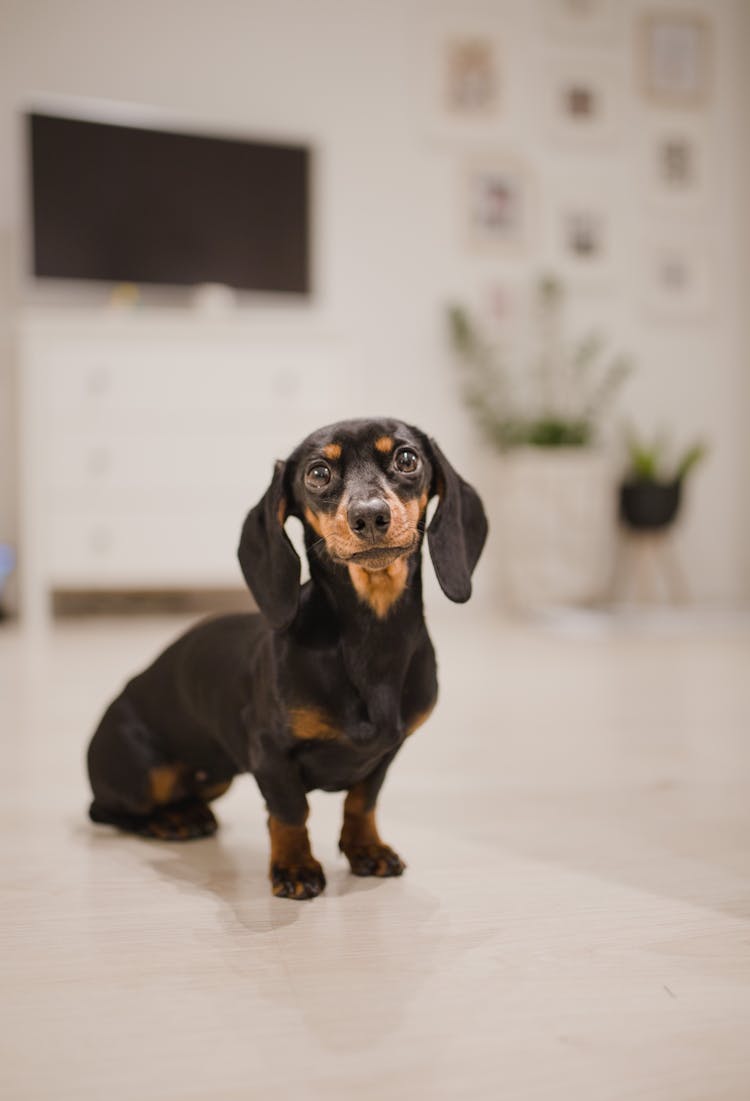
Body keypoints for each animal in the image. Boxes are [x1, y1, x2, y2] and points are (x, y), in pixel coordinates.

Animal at [87, 416, 484, 898]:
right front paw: (295, 867)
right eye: (318, 473)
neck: (372, 638)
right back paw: (172, 821)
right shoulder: (269, 752)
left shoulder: (387, 750)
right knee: (110, 810)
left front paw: (366, 849)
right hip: (144, 773)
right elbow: (291, 812)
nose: (369, 516)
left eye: (407, 459)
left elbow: (362, 802)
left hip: (217, 777)